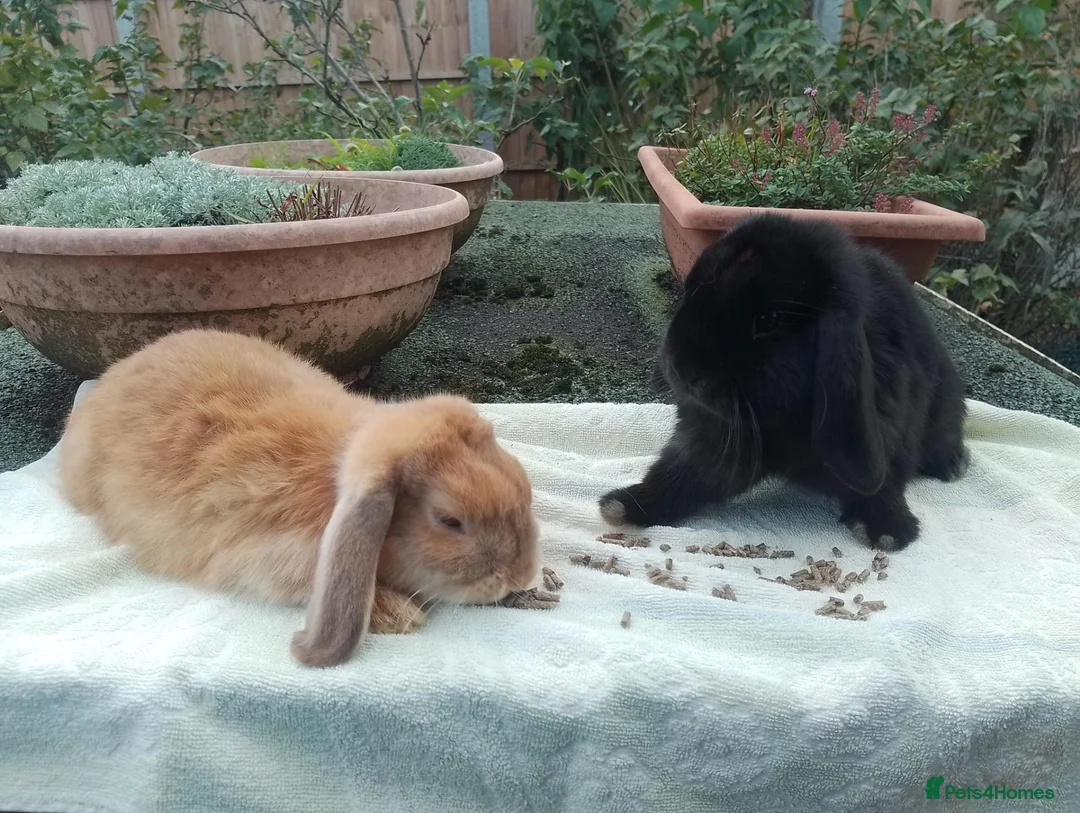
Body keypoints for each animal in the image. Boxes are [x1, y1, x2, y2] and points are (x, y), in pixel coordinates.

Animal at [599, 213, 968, 551]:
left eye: (768, 320)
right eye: (691, 291)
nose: (681, 368)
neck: (782, 419)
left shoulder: (893, 432)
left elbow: (885, 485)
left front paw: (887, 531)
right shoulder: (713, 440)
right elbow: (682, 473)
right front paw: (624, 506)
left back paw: (952, 465)